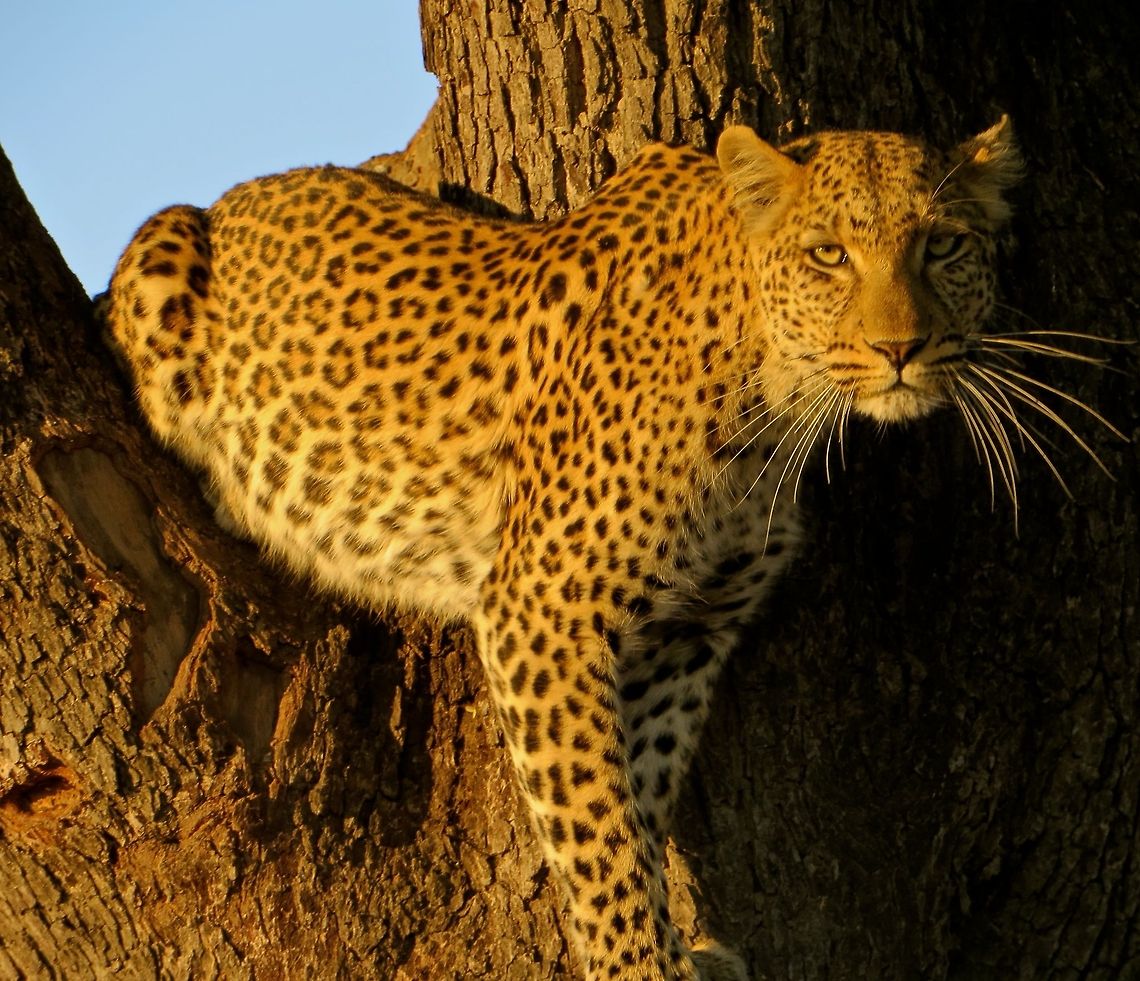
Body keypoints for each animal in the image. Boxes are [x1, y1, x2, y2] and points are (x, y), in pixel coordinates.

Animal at [104, 117, 1024, 980]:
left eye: (942, 245)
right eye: (828, 254)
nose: (899, 350)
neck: (771, 407)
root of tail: (233, 196)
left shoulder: (686, 630)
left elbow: (640, 798)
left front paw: (676, 948)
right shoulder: (540, 612)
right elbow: (596, 827)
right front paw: (639, 966)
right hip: (160, 246)